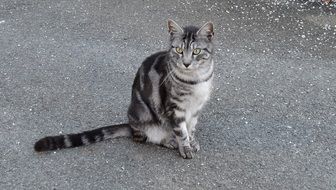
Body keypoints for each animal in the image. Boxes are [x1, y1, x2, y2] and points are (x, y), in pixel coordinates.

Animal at [34, 19, 215, 159]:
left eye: (196, 51)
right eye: (179, 50)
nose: (186, 63)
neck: (196, 79)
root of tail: (130, 124)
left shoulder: (196, 108)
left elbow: (191, 128)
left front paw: (192, 142)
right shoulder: (175, 108)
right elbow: (181, 131)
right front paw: (185, 148)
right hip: (146, 120)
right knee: (145, 137)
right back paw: (169, 141)